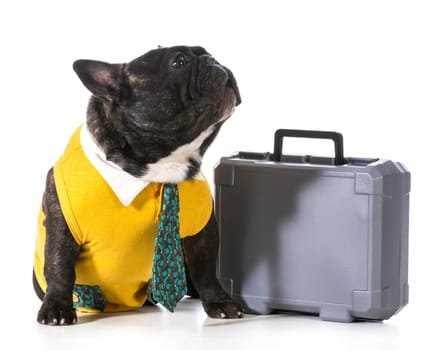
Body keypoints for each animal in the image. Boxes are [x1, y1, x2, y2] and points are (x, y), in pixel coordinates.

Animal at [32, 45, 244, 326]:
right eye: (179, 62)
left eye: (206, 52)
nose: (213, 61)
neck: (159, 166)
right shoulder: (62, 225)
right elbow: (59, 267)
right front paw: (57, 308)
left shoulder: (203, 230)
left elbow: (206, 268)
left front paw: (219, 302)